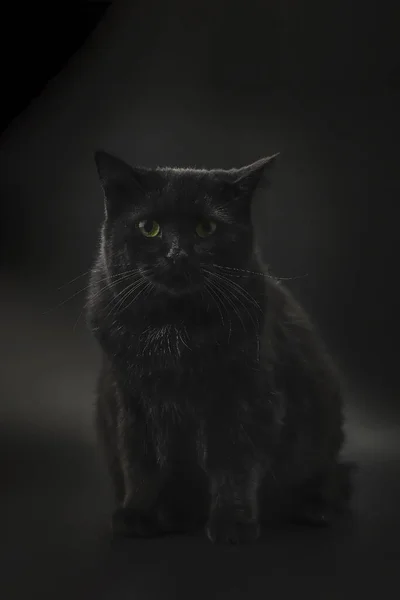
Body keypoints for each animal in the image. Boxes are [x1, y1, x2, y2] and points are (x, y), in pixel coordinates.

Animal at [87, 149, 354, 544]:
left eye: (206, 228)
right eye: (149, 227)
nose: (177, 254)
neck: (175, 330)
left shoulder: (246, 396)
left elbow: (233, 460)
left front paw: (232, 522)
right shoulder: (131, 399)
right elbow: (139, 460)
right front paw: (138, 514)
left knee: (331, 481)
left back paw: (313, 509)